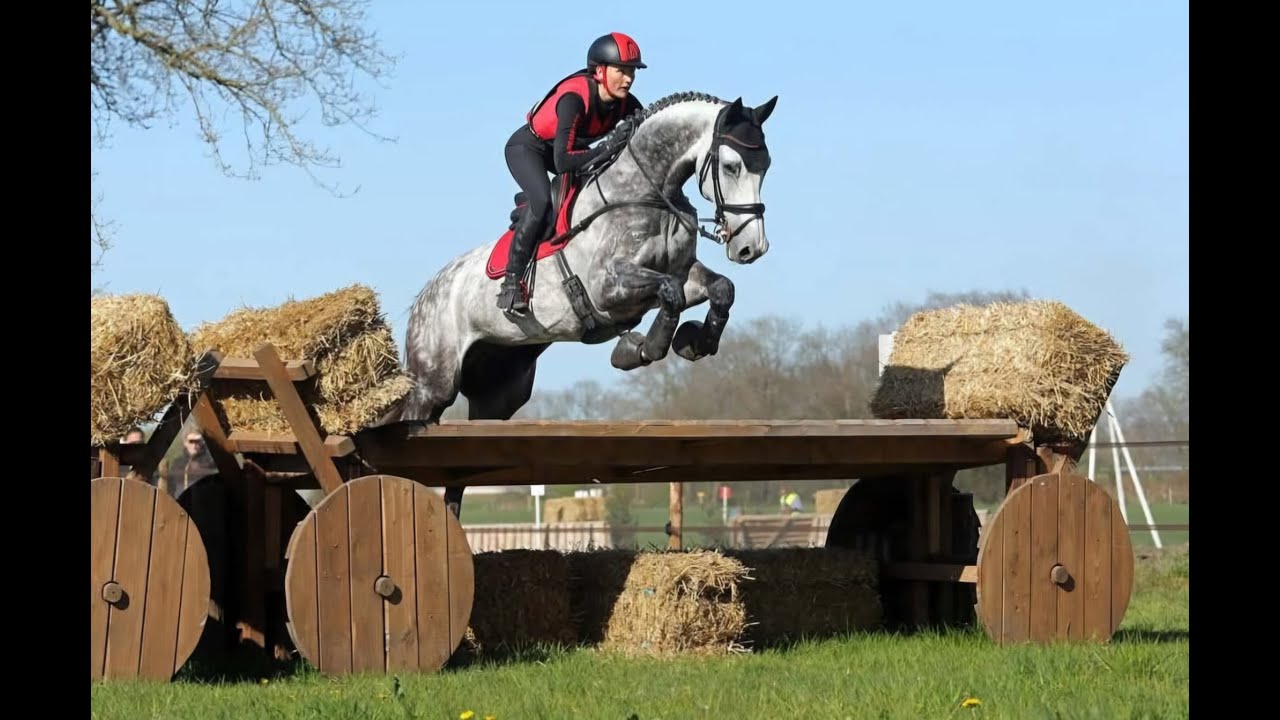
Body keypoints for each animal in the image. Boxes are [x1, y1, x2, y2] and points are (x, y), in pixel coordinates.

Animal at [386, 90, 778, 517]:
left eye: (766, 167)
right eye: (731, 166)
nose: (751, 248)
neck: (645, 193)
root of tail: (425, 296)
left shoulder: (683, 272)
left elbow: (721, 288)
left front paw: (694, 342)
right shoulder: (608, 289)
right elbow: (668, 293)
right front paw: (640, 348)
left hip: (499, 395)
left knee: (457, 469)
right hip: (434, 384)